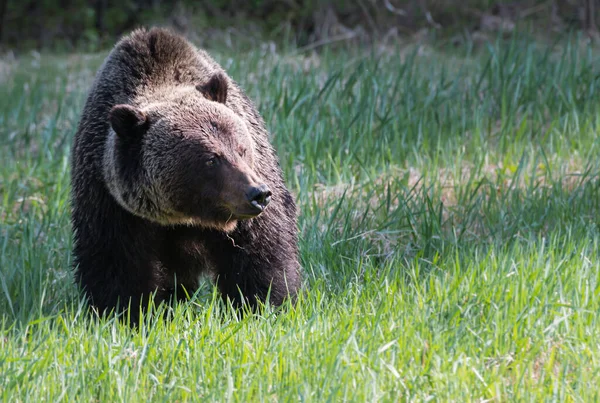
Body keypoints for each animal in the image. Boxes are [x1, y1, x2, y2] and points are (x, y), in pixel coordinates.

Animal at [71, 26, 302, 324]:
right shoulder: (111, 202)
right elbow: (116, 264)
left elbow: (260, 254)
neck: (181, 215)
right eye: (212, 159)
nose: (258, 194)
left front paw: (263, 305)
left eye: (242, 149)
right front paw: (124, 313)